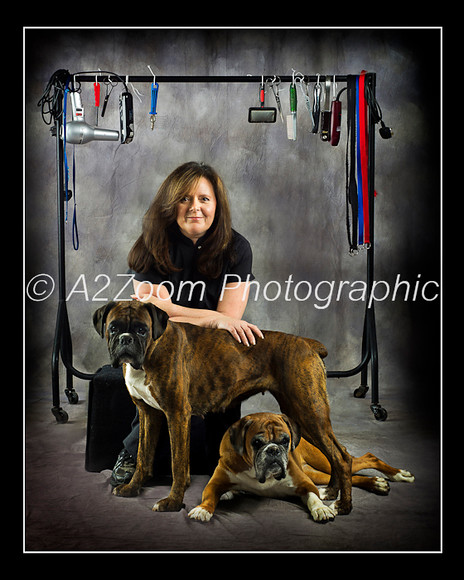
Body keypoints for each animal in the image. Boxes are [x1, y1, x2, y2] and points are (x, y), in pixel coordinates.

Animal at [94, 302, 354, 516]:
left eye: (142, 330)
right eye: (113, 328)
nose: (125, 339)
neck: (151, 350)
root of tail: (307, 343)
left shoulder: (177, 415)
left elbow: (178, 464)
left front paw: (173, 502)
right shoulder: (149, 414)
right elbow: (143, 456)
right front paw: (132, 488)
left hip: (308, 412)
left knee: (341, 457)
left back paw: (343, 505)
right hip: (302, 415)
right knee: (337, 452)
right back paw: (330, 492)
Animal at [188, 410, 416, 524]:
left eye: (285, 440)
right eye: (257, 442)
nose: (273, 450)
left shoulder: (304, 483)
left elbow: (312, 496)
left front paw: (321, 509)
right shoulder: (215, 483)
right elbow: (210, 496)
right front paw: (202, 510)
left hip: (320, 463)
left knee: (358, 459)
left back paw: (397, 475)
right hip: (314, 472)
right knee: (350, 474)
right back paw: (376, 483)